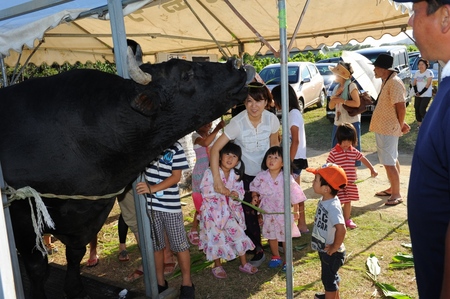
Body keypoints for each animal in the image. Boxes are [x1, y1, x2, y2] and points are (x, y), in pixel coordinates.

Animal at [0, 48, 253, 298]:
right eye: (186, 74)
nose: (234, 63)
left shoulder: (90, 213)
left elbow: (75, 254)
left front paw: (75, 289)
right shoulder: (21, 215)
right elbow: (37, 267)